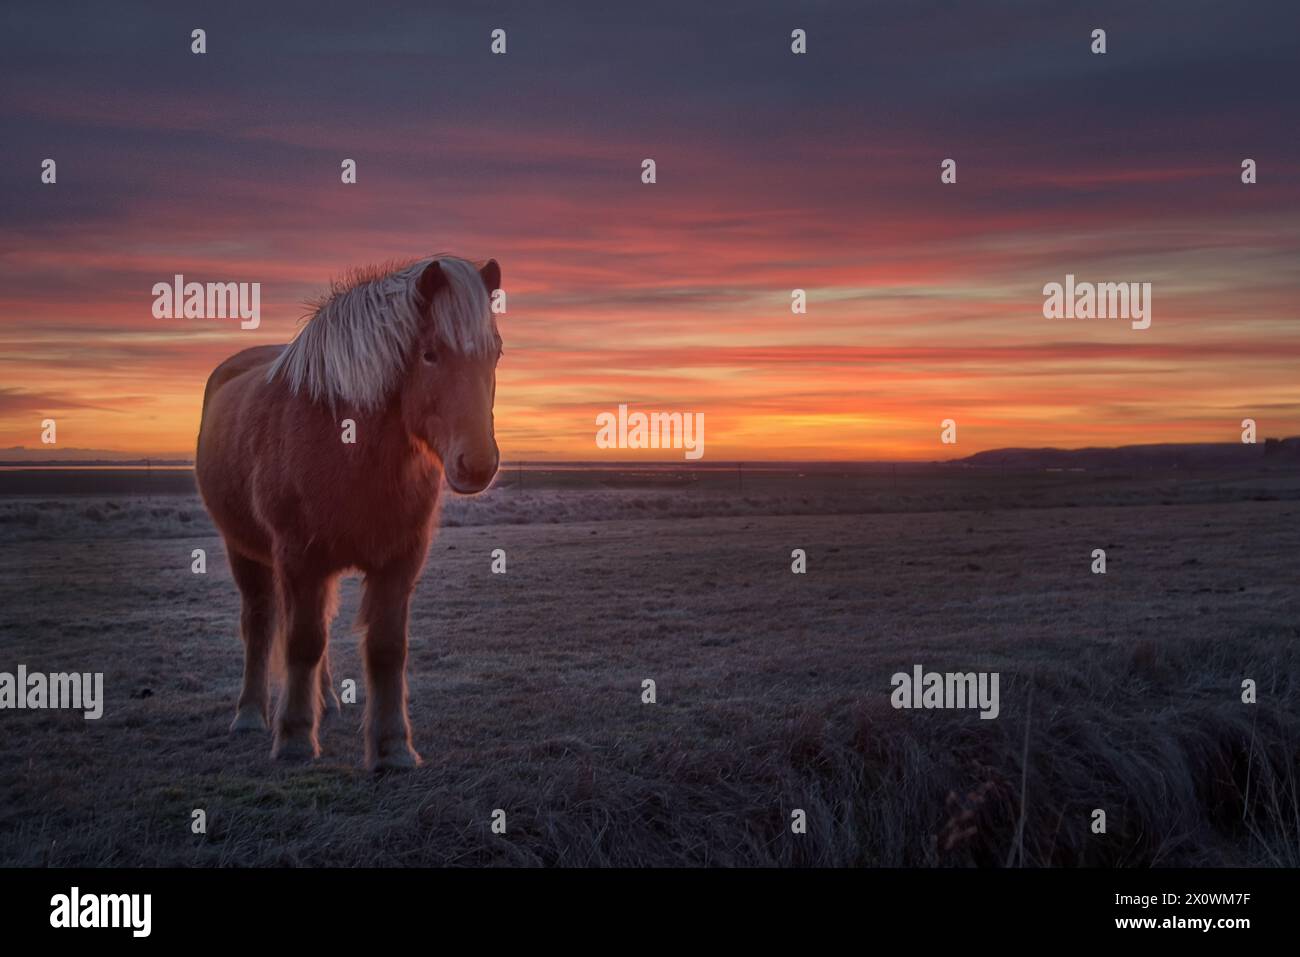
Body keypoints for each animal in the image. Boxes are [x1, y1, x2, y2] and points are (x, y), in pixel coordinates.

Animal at [195, 255, 502, 770]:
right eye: (430, 354)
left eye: (495, 353)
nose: (477, 464)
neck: (348, 443)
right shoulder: (298, 558)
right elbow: (302, 642)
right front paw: (295, 738)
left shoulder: (399, 560)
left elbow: (386, 649)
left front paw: (393, 747)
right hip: (245, 550)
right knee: (261, 623)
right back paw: (252, 714)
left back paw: (327, 702)